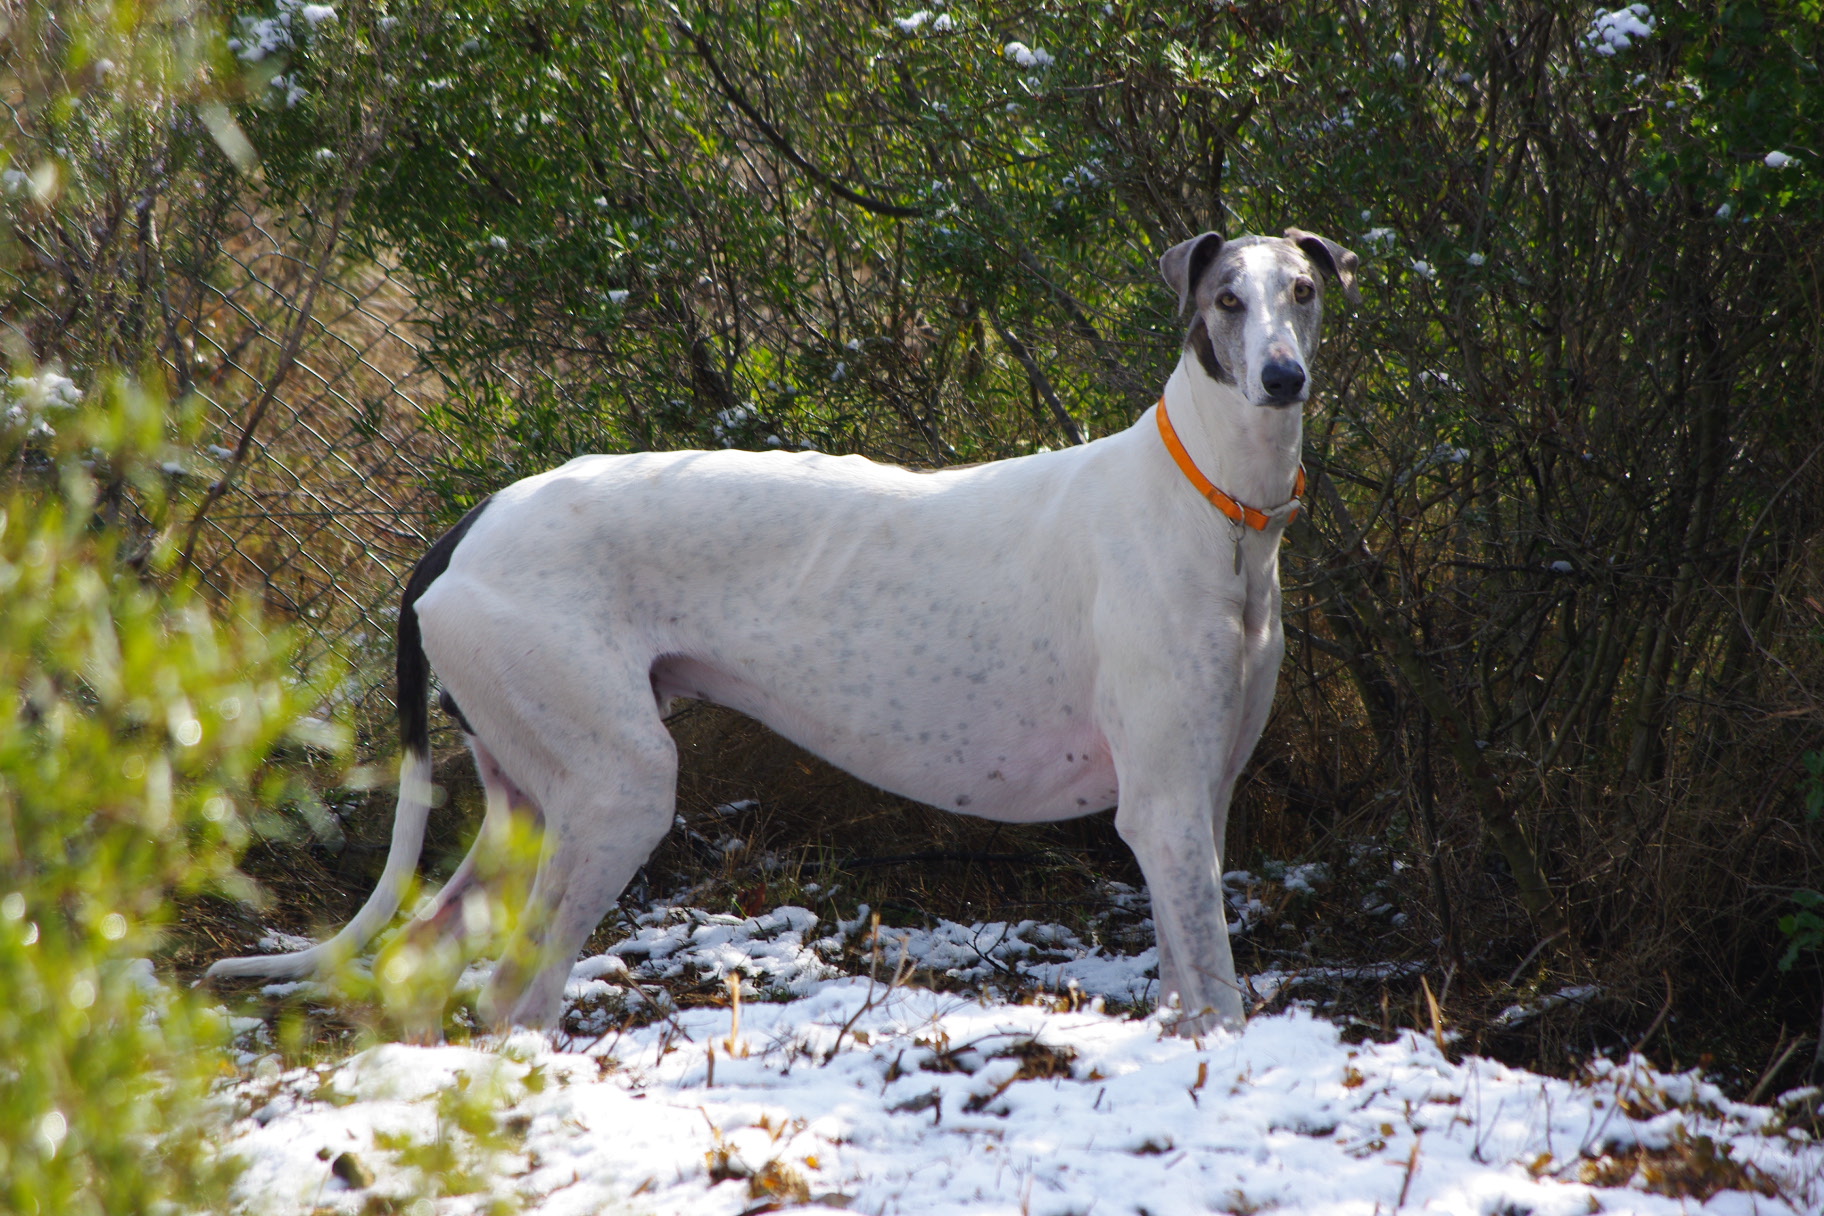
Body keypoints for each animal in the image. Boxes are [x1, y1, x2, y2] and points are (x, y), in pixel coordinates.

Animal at [209, 228, 1358, 1037]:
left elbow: (1187, 986)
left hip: (526, 799)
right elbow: (1218, 997)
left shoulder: (1197, 800)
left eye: (1303, 293)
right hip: (618, 787)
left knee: (423, 953)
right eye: (1225, 299)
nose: (1283, 378)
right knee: (510, 995)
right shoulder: (1162, 810)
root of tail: (468, 526)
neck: (1217, 504)